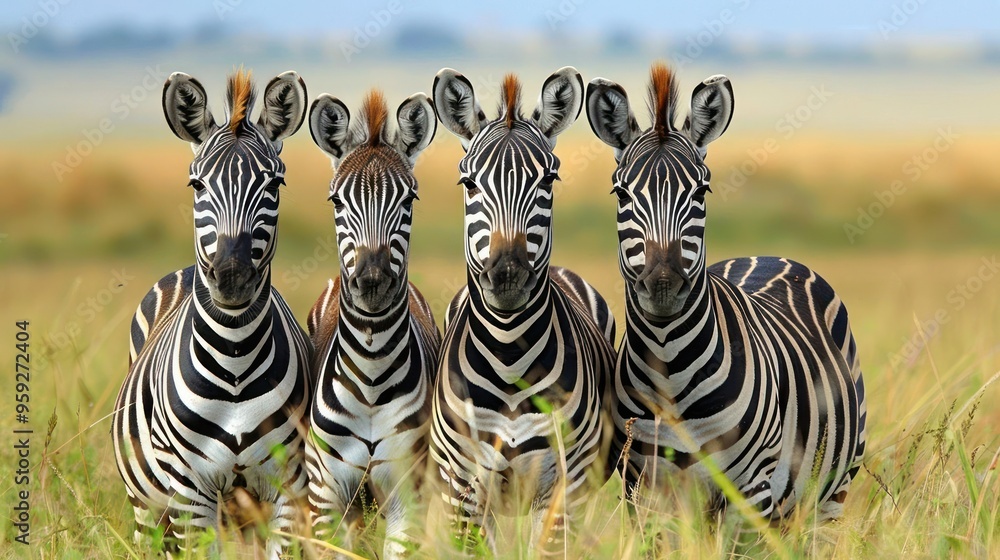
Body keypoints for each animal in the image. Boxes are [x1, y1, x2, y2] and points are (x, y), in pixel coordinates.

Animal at [112, 69, 313, 557]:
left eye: (274, 185)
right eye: (197, 185)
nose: (232, 277)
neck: (235, 360)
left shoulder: (289, 489)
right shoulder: (191, 496)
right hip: (148, 509)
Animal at [304, 88, 441, 558]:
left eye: (410, 200)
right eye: (336, 201)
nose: (372, 282)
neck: (371, 372)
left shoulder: (407, 490)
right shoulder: (325, 494)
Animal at [429, 67, 617, 553]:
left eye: (548, 181)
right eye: (469, 183)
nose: (508, 275)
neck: (509, 352)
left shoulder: (562, 489)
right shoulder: (462, 492)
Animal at [584, 63, 867, 522]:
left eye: (701, 191)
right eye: (620, 193)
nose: (663, 284)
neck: (668, 366)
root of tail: (767, 254)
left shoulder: (751, 491)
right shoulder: (644, 493)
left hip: (828, 495)